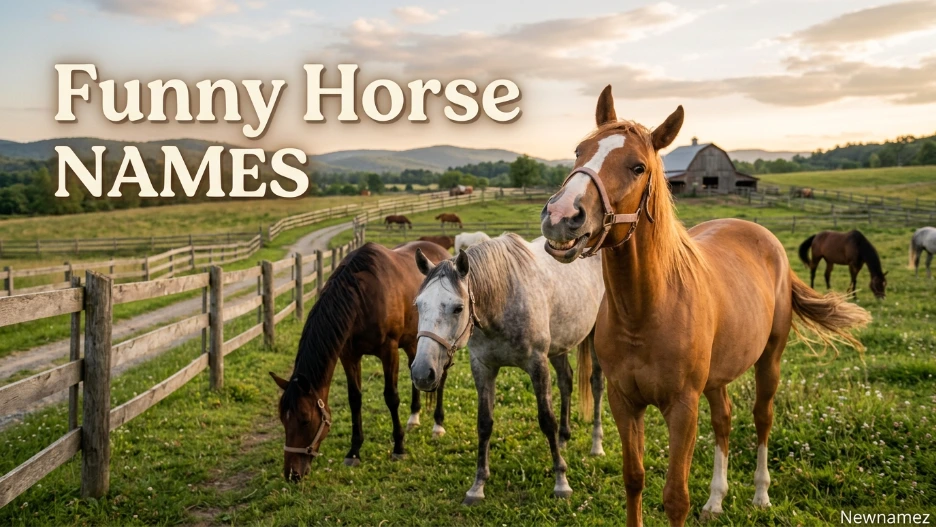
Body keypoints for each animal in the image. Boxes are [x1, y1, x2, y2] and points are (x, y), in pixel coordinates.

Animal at [269, 241, 452, 481]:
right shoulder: (349, 355)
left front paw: (399, 448)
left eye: (305, 419)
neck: (363, 296)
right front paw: (354, 451)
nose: (292, 474)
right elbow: (354, 399)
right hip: (413, 341)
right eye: (282, 418)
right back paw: (414, 417)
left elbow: (391, 397)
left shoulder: (389, 351)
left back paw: (438, 425)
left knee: (441, 378)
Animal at [410, 234, 607, 505]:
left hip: (595, 335)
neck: (503, 300)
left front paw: (561, 481)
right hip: (559, 346)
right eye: (418, 305)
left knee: (596, 384)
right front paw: (478, 485)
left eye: (458, 308)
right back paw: (564, 439)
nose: (422, 373)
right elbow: (484, 423)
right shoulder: (483, 368)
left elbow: (547, 420)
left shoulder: (537, 364)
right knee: (566, 381)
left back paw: (596, 445)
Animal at [539, 85, 871, 526]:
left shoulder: (683, 407)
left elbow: (675, 496)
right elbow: (634, 479)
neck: (644, 311)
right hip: (717, 378)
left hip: (770, 360)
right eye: (579, 151)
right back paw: (716, 500)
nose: (562, 216)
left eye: (637, 167)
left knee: (761, 418)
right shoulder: (624, 403)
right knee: (724, 420)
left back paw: (760, 494)